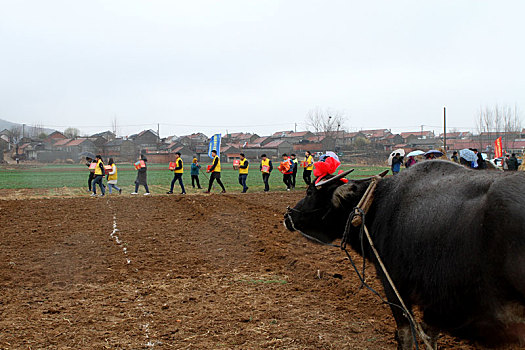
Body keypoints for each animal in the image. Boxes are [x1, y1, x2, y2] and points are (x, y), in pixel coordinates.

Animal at [284, 160, 524, 348]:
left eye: (309, 192)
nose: (288, 216)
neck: (374, 205)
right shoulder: (435, 303)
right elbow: (429, 334)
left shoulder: (394, 285)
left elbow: (406, 334)